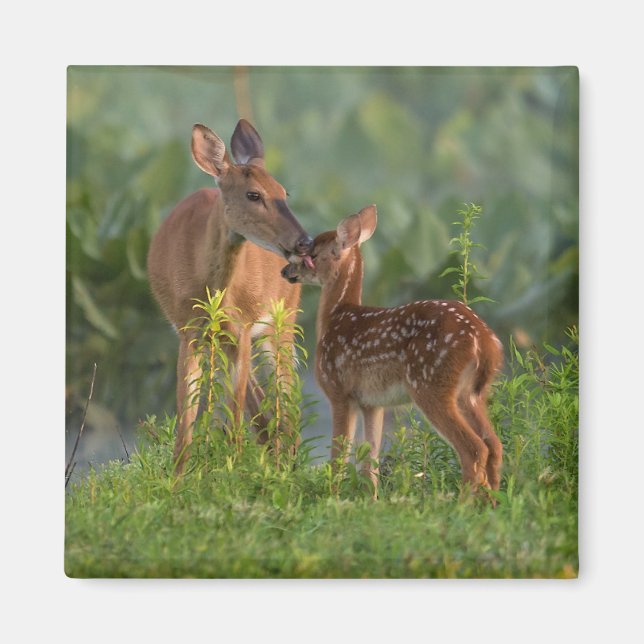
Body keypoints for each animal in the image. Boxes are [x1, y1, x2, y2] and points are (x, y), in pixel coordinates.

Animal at [147, 119, 314, 474]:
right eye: (253, 194)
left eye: (284, 192)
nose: (304, 241)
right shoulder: (189, 332)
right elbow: (187, 419)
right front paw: (178, 478)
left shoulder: (244, 329)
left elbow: (235, 414)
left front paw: (234, 470)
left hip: (282, 322)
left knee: (286, 395)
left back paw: (287, 463)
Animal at [281, 204, 503, 499]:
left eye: (312, 255)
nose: (285, 271)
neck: (336, 316)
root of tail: (484, 341)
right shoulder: (372, 403)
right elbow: (370, 460)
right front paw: (371, 499)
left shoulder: (338, 390)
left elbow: (339, 455)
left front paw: (332, 496)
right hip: (472, 393)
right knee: (495, 444)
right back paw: (493, 501)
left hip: (431, 385)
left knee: (474, 448)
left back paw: (462, 503)